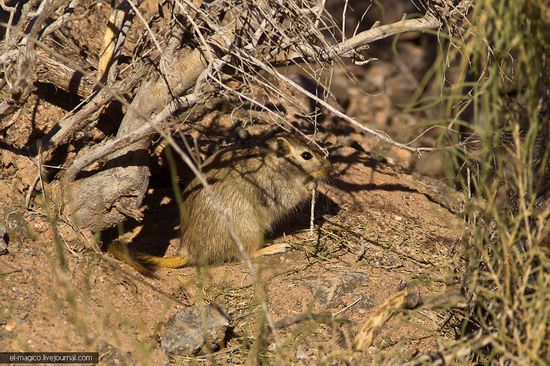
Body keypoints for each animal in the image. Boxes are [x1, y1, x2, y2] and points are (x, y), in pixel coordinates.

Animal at [108, 132, 332, 274]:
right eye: (306, 155)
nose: (327, 166)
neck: (274, 163)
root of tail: (188, 253)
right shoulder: (279, 191)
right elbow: (296, 193)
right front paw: (312, 184)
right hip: (249, 228)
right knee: (248, 254)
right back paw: (275, 247)